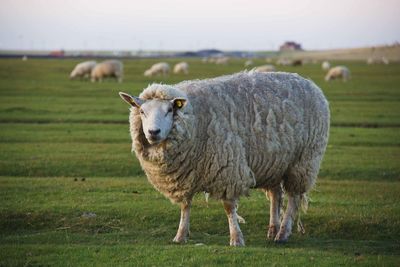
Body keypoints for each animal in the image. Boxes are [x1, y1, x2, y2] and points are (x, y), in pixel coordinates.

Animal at [118, 70, 328, 247]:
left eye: (169, 110)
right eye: (142, 112)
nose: (153, 132)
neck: (195, 119)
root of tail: (307, 81)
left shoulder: (227, 170)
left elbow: (228, 207)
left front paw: (236, 238)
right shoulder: (185, 176)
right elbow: (185, 206)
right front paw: (180, 235)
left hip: (303, 162)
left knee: (293, 198)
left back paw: (283, 233)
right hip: (275, 163)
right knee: (276, 196)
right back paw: (273, 230)